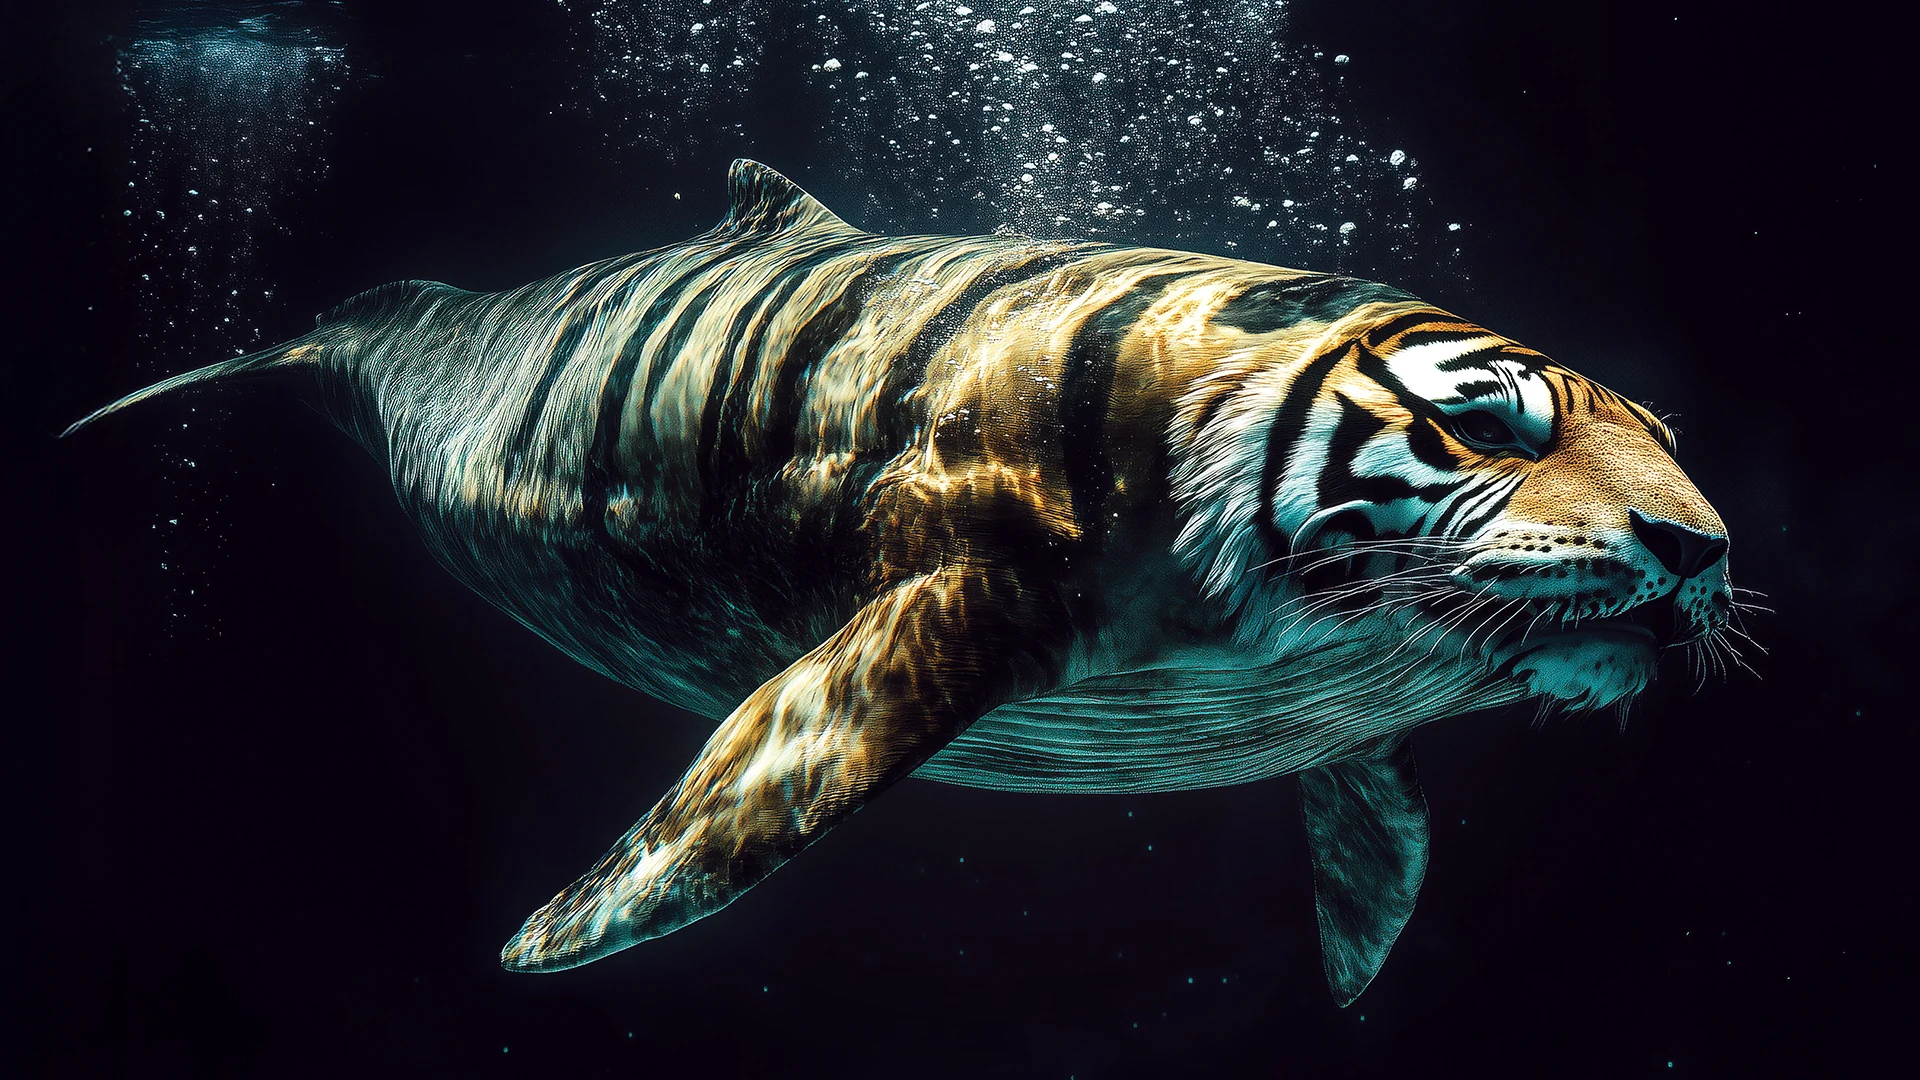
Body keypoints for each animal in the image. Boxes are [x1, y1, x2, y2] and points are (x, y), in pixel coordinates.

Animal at [67, 159, 1736, 1005]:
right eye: (1493, 420)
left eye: (1668, 433)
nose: (1706, 550)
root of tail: (342, 330)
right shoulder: (953, 580)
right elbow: (749, 786)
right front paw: (552, 940)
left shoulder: (1348, 723)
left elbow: (1381, 832)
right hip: (340, 344)